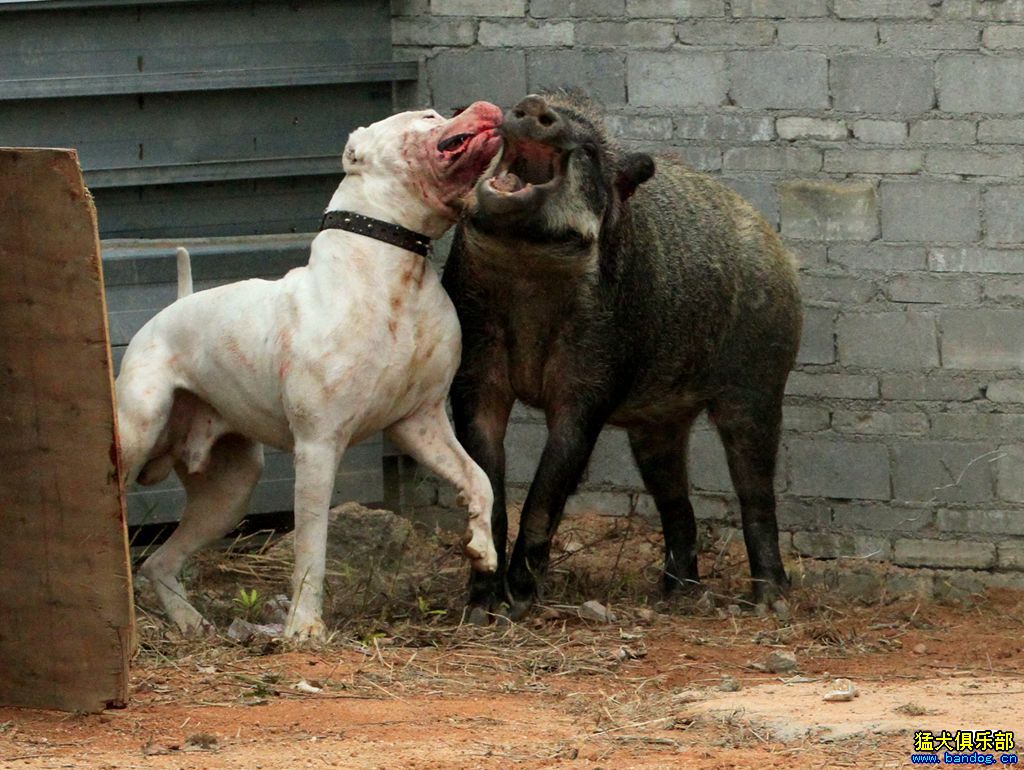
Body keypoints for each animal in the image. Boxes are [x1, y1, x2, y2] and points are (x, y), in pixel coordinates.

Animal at [117, 105, 503, 638]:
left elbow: (478, 477)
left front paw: (481, 547)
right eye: (427, 115)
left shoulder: (420, 423)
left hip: (230, 491)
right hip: (139, 430)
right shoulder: (318, 446)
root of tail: (169, 311)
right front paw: (303, 627)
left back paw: (189, 621)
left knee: (158, 561)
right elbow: (311, 544)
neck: (394, 268)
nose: (483, 108)